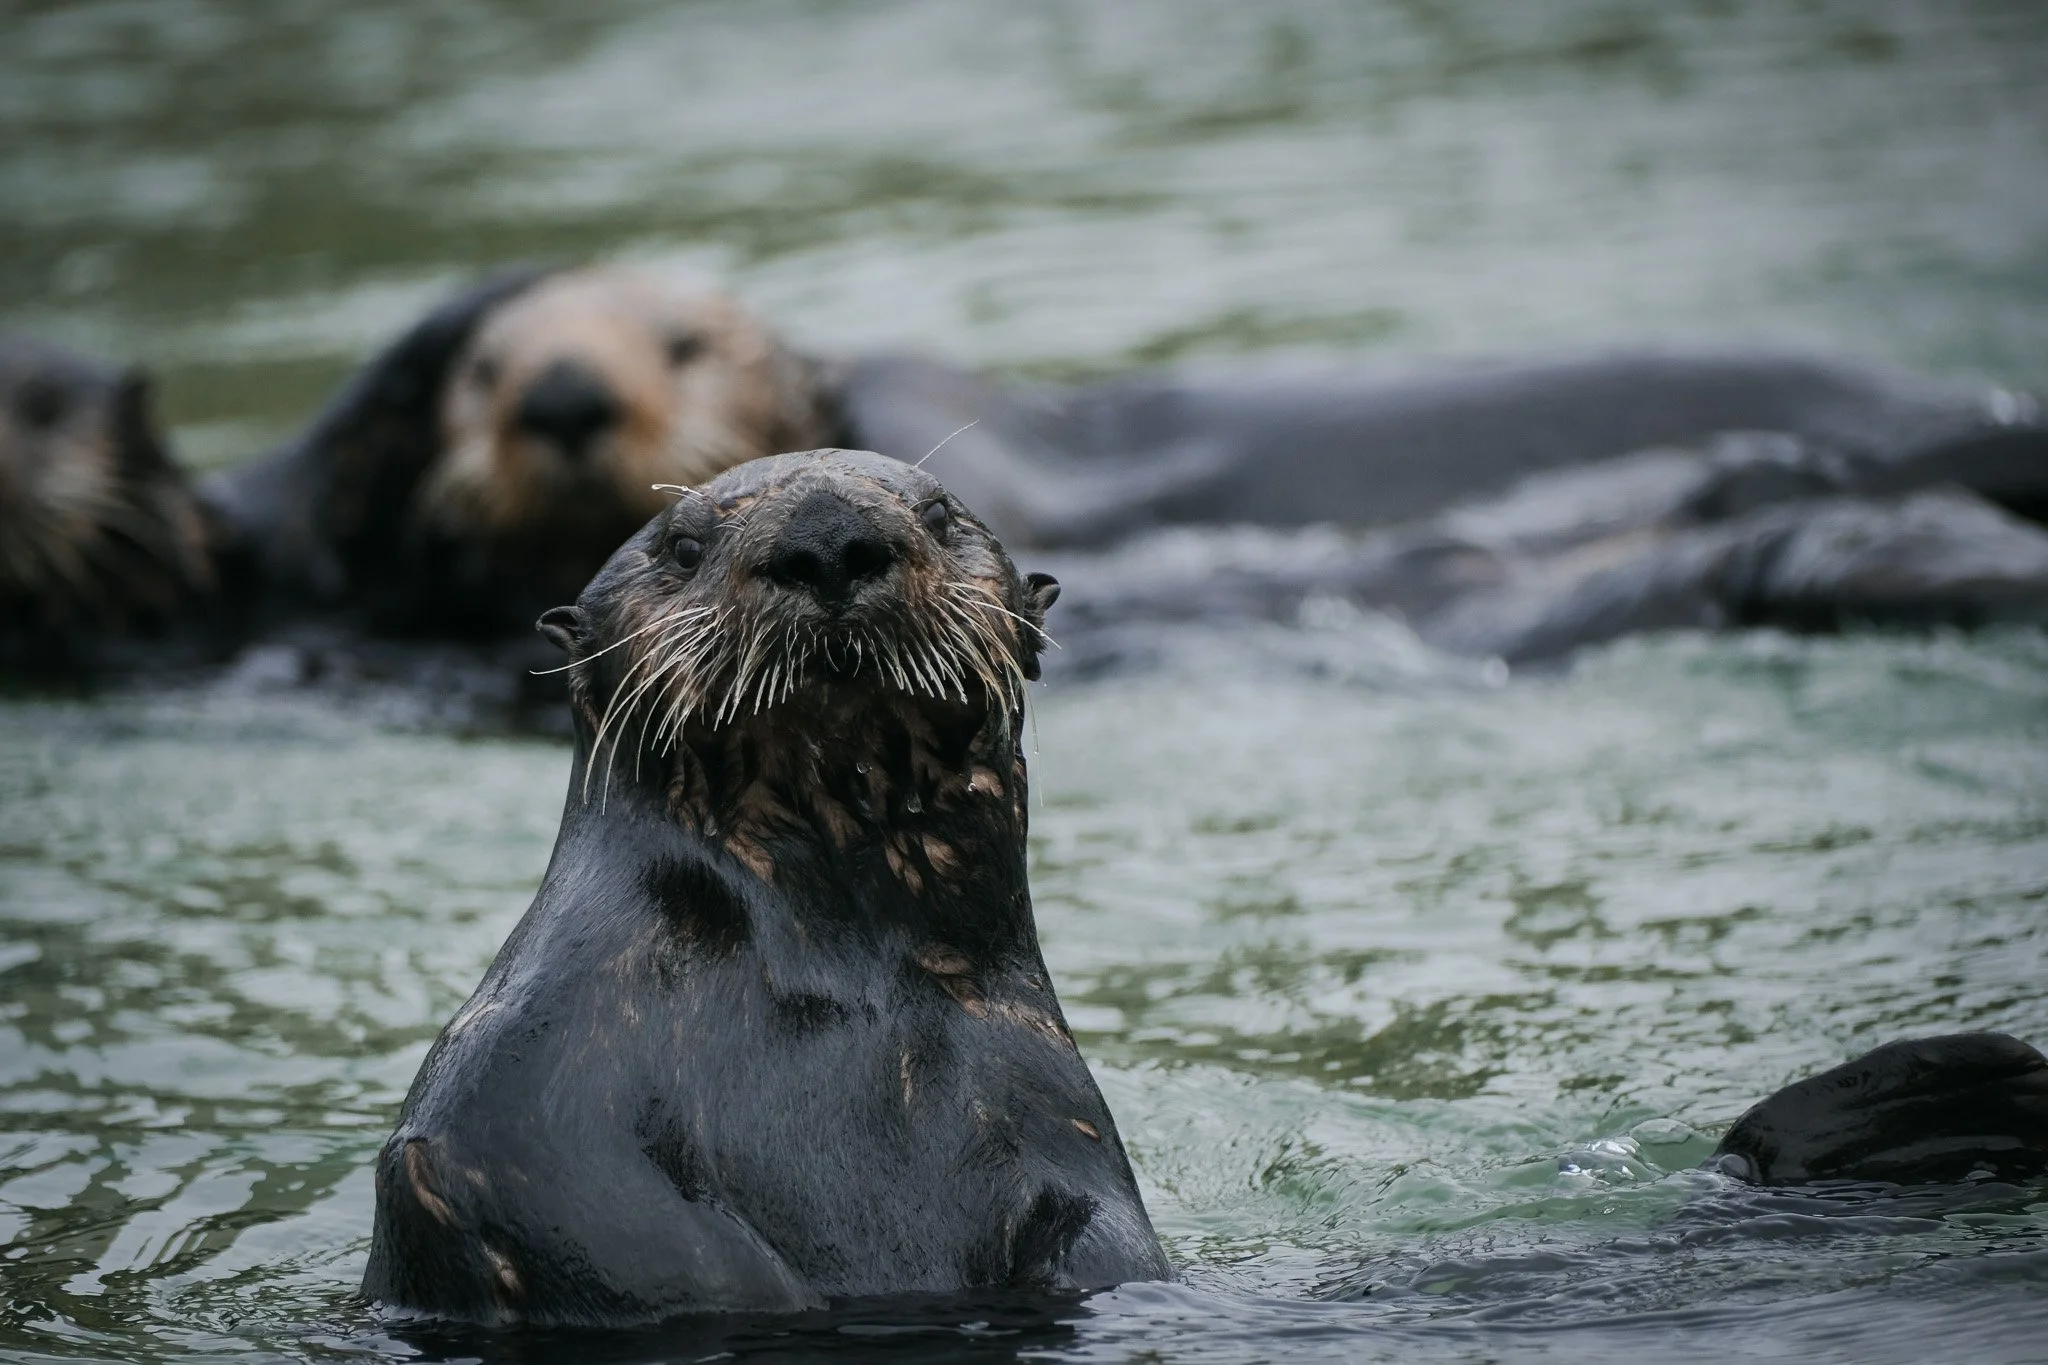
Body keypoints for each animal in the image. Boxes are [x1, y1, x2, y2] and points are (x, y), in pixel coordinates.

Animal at [363, 449, 1166, 1325]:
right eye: (683, 547)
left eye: (941, 514)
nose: (829, 535)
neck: (845, 997)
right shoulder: (516, 1098)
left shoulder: (1055, 1120)